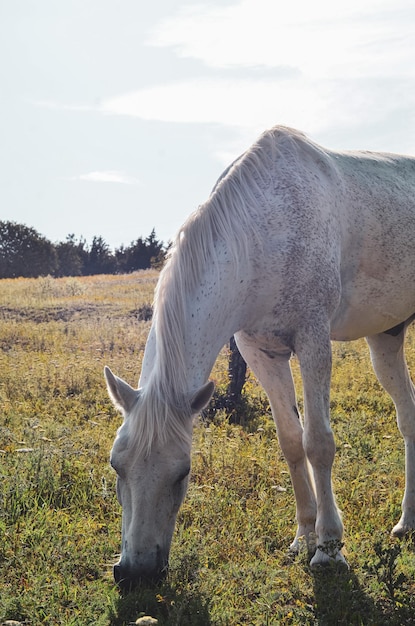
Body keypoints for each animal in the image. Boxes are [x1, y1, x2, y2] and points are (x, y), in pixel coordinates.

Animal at [105, 125, 415, 584]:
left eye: (183, 473)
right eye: (116, 466)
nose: (135, 573)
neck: (262, 234)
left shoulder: (313, 340)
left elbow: (319, 442)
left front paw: (329, 548)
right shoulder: (261, 352)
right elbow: (291, 441)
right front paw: (304, 537)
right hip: (385, 339)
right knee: (408, 417)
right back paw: (408, 522)